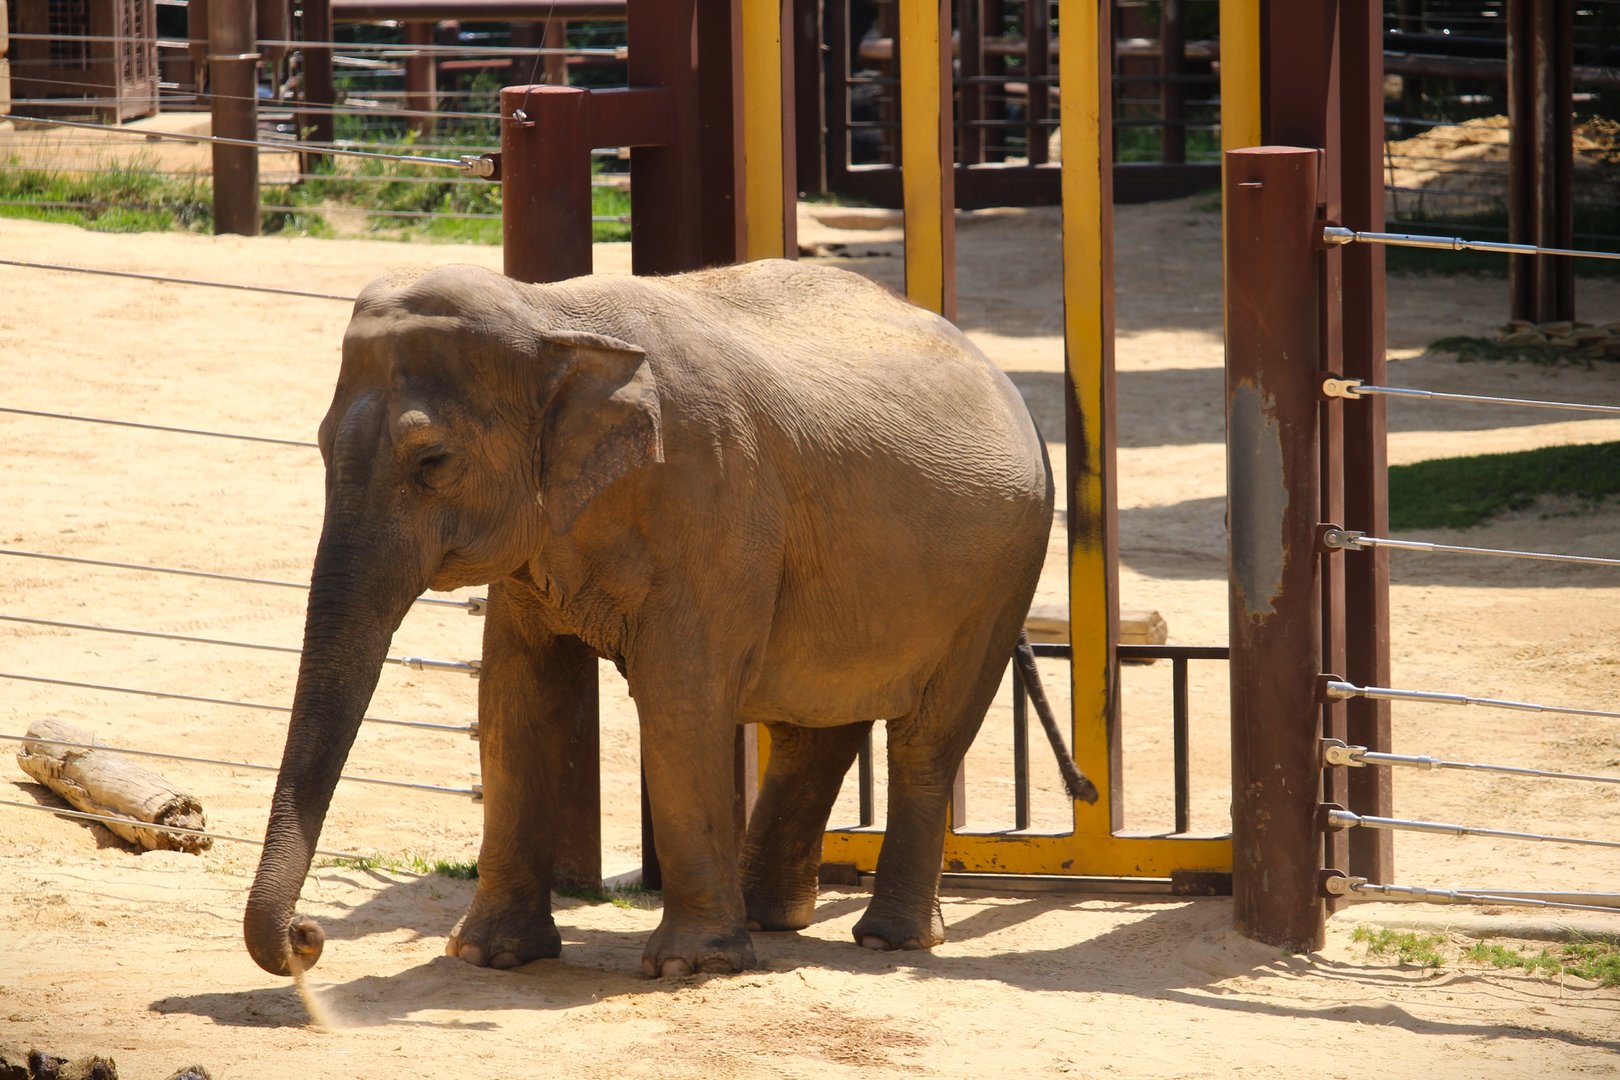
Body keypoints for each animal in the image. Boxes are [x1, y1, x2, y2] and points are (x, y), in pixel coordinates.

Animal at [243, 258, 1057, 980]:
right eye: (320, 447)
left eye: (432, 461)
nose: (308, 936)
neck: (550, 312)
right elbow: (513, 694)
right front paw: (489, 957)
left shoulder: (714, 499)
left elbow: (679, 696)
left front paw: (690, 967)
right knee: (814, 725)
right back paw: (768, 919)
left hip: (1005, 568)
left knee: (926, 737)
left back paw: (888, 940)